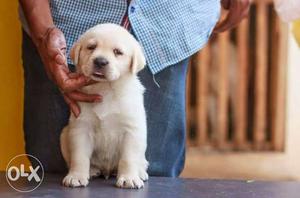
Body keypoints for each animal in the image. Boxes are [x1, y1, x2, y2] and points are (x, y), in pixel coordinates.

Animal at [60, 23, 149, 189]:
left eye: (118, 52)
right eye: (91, 47)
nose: (100, 61)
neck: (106, 88)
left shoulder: (132, 129)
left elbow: (128, 158)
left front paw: (129, 179)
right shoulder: (81, 127)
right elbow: (79, 156)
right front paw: (76, 176)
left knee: (141, 161)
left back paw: (140, 173)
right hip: (64, 134)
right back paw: (92, 170)